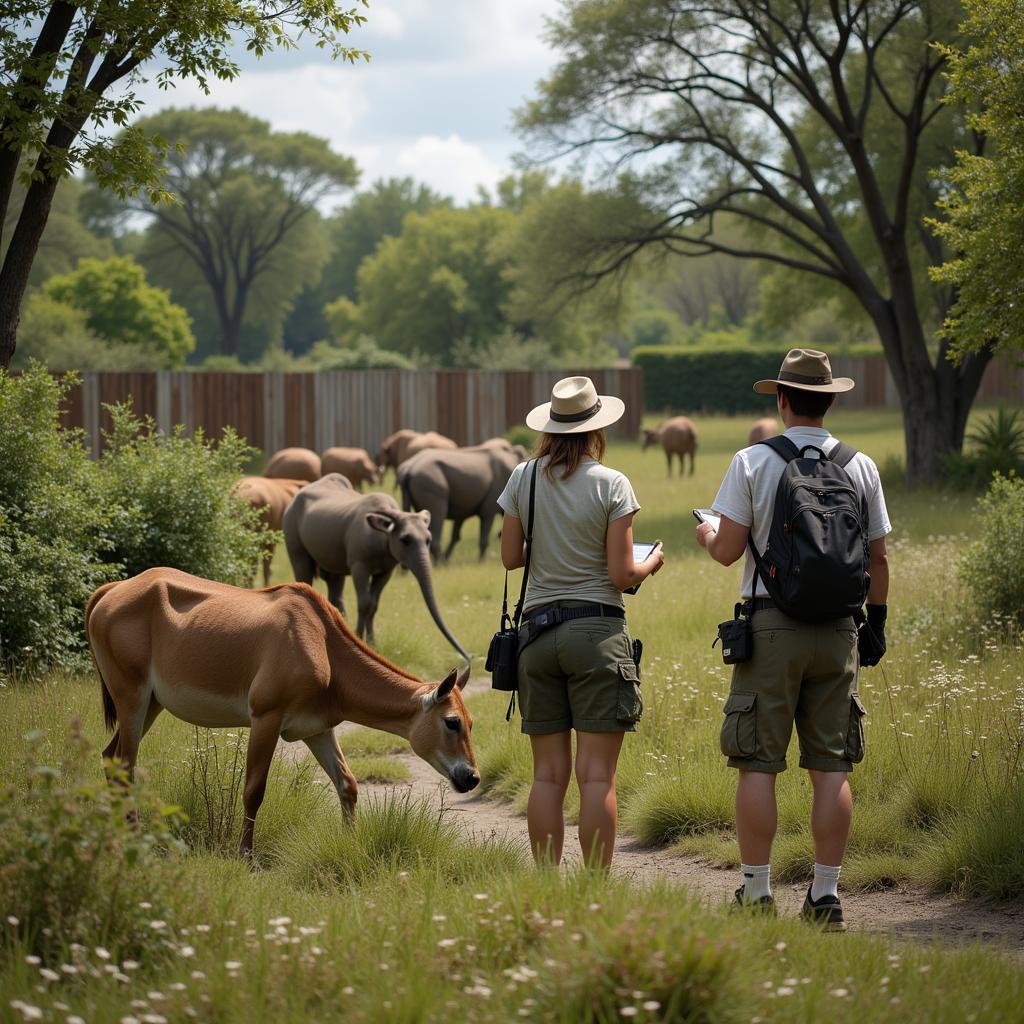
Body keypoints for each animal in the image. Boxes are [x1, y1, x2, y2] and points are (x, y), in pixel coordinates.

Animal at [84, 569, 479, 856]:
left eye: (471, 723)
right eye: (452, 722)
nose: (471, 777)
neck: (322, 643)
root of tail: (108, 592)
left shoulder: (317, 729)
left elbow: (347, 783)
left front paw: (350, 844)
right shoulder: (266, 719)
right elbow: (253, 790)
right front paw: (245, 855)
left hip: (151, 703)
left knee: (109, 757)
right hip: (132, 698)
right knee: (125, 764)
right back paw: (132, 837)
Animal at [282, 473, 468, 659]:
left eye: (427, 539)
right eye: (405, 539)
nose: (468, 657)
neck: (381, 537)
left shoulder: (385, 571)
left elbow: (373, 605)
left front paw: (371, 643)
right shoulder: (359, 567)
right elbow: (364, 603)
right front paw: (358, 637)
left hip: (333, 561)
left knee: (336, 594)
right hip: (297, 549)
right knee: (303, 578)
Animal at [391, 446, 520, 565]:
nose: (499, 534)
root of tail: (408, 469)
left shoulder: (462, 506)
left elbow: (456, 534)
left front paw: (449, 557)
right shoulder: (491, 506)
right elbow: (484, 535)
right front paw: (481, 562)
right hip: (430, 483)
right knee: (438, 516)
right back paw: (441, 564)